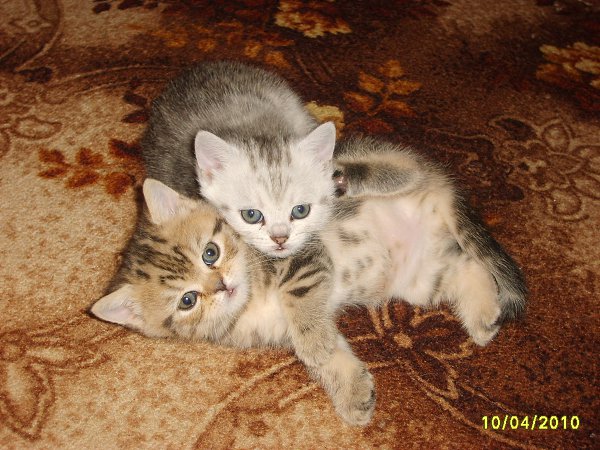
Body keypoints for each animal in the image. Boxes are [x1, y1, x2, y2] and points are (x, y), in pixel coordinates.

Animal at [91, 136, 526, 425]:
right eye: (187, 301)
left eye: (210, 253)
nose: (222, 287)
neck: (251, 296)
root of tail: (439, 195)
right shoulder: (284, 328)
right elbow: (326, 351)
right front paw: (353, 392)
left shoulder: (304, 260)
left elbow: (306, 320)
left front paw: (330, 365)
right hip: (421, 276)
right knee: (469, 267)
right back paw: (483, 316)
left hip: (376, 172)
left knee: (403, 167)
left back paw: (346, 177)